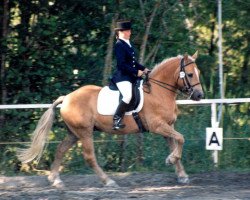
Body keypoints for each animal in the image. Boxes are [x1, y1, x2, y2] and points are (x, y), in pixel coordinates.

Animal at [17, 51, 203, 188]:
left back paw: (55, 180)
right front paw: (171, 160)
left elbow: (176, 143)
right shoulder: (157, 126)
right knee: (89, 157)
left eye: (198, 73)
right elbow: (181, 138)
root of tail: (67, 98)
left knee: (60, 150)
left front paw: (181, 174)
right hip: (84, 132)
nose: (199, 95)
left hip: (74, 133)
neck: (159, 91)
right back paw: (108, 181)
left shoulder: (168, 126)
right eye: (190, 74)